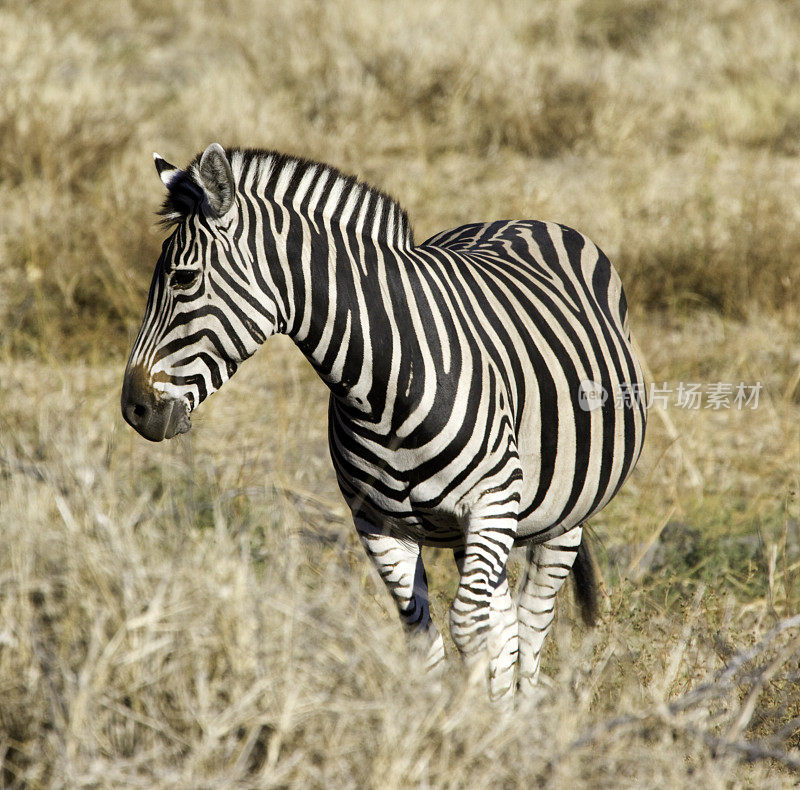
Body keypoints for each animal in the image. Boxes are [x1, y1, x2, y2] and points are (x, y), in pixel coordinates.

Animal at [120, 145, 648, 704]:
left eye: (183, 279)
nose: (134, 409)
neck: (386, 390)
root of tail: (521, 219)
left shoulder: (493, 501)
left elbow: (469, 626)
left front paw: (473, 723)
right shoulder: (377, 522)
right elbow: (421, 634)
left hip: (562, 516)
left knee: (529, 622)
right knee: (506, 621)